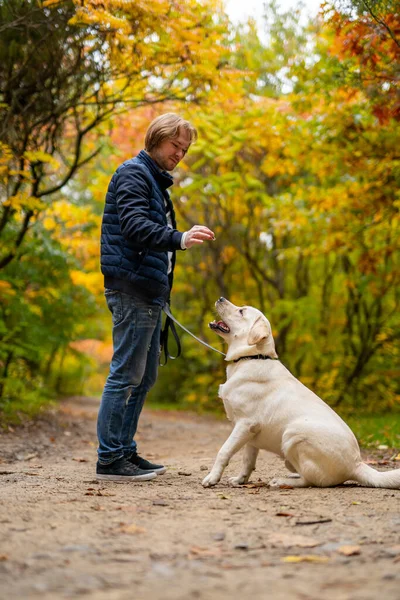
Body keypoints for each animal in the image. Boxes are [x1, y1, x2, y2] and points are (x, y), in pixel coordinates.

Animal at [203, 298, 400, 490]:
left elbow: (224, 451)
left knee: (312, 480)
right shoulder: (251, 434)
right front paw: (240, 480)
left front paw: (212, 478)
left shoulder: (245, 424)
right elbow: (247, 461)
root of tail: (356, 464)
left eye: (241, 311)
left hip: (293, 434)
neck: (251, 357)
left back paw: (282, 481)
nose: (220, 298)